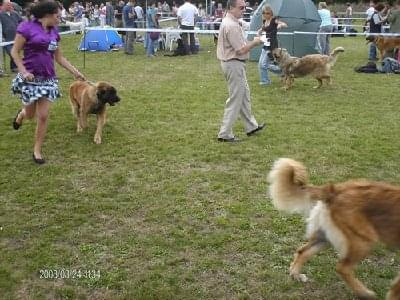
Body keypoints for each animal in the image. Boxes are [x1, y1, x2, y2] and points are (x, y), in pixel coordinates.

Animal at [268, 158, 400, 298]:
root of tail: (334, 190)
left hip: (326, 236)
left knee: (302, 251)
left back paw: (296, 275)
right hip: (363, 239)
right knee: (342, 268)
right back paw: (364, 292)